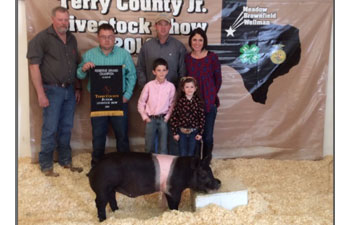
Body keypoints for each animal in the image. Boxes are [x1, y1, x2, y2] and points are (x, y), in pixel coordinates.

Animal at [86, 151, 220, 221]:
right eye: (203, 174)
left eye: (211, 171)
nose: (218, 182)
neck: (185, 172)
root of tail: (95, 165)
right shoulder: (174, 190)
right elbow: (174, 205)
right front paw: (175, 213)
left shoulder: (167, 190)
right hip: (102, 188)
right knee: (99, 203)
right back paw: (103, 220)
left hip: (110, 189)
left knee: (112, 199)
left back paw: (117, 211)